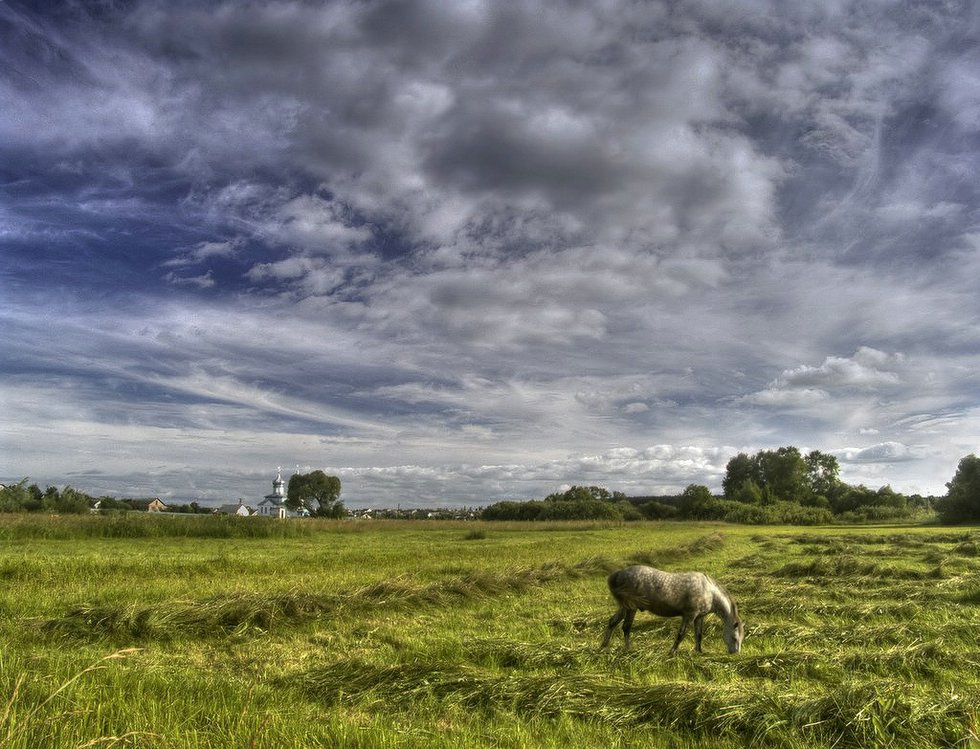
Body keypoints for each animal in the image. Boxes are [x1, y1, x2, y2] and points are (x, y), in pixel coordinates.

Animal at [600, 565, 744, 654]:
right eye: (734, 638)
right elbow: (681, 634)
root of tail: (619, 574)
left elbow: (699, 635)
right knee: (626, 627)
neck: (709, 591)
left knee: (612, 622)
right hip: (631, 608)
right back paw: (628, 649)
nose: (735, 653)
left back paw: (603, 646)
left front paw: (699, 651)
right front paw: (672, 652)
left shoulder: (699, 617)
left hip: (624, 607)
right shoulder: (689, 615)